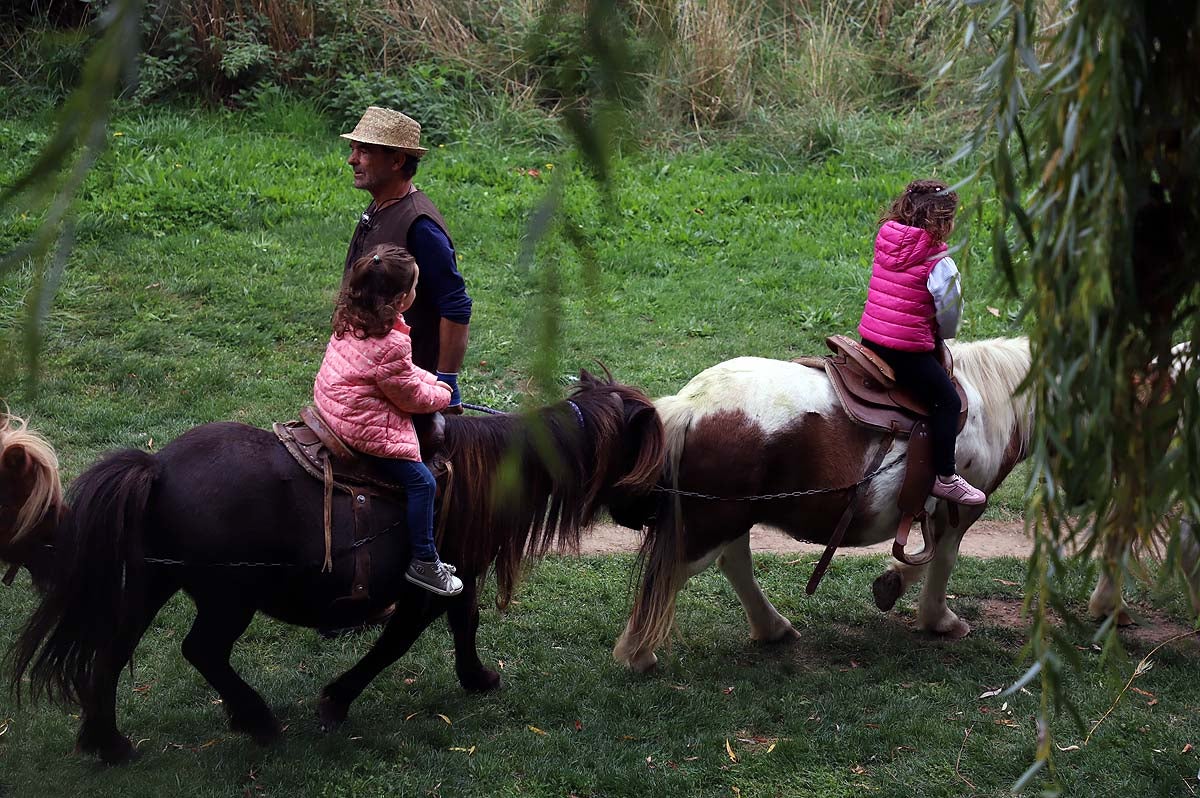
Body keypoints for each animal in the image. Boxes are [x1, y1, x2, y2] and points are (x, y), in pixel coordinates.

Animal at [2, 369, 667, 763]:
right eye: (648, 450)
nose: (659, 507)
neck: (484, 470)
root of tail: (157, 467)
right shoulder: (424, 589)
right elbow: (396, 643)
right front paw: (336, 701)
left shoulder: (461, 576)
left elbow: (465, 622)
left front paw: (476, 678)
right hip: (227, 598)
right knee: (201, 651)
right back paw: (256, 719)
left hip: (154, 582)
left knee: (111, 651)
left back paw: (109, 741)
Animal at [614, 333, 1036, 667]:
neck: (992, 400)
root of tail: (690, 404)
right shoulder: (962, 508)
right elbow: (942, 560)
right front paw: (936, 617)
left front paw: (895, 587)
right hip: (715, 521)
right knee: (671, 573)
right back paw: (638, 654)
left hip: (732, 516)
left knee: (734, 564)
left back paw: (772, 628)